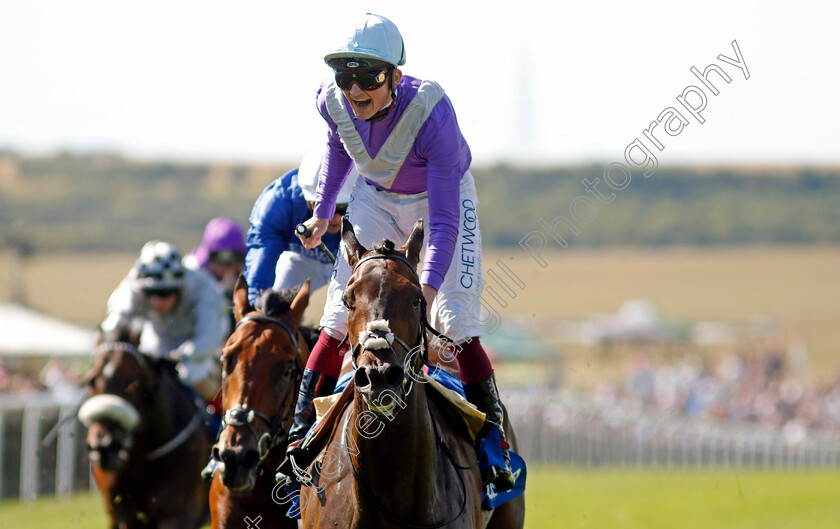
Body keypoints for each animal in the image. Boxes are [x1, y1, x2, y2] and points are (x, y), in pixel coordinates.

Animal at [79, 324, 212, 524]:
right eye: (90, 380)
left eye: (132, 381)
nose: (104, 446)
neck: (143, 454)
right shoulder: (122, 515)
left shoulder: (176, 514)